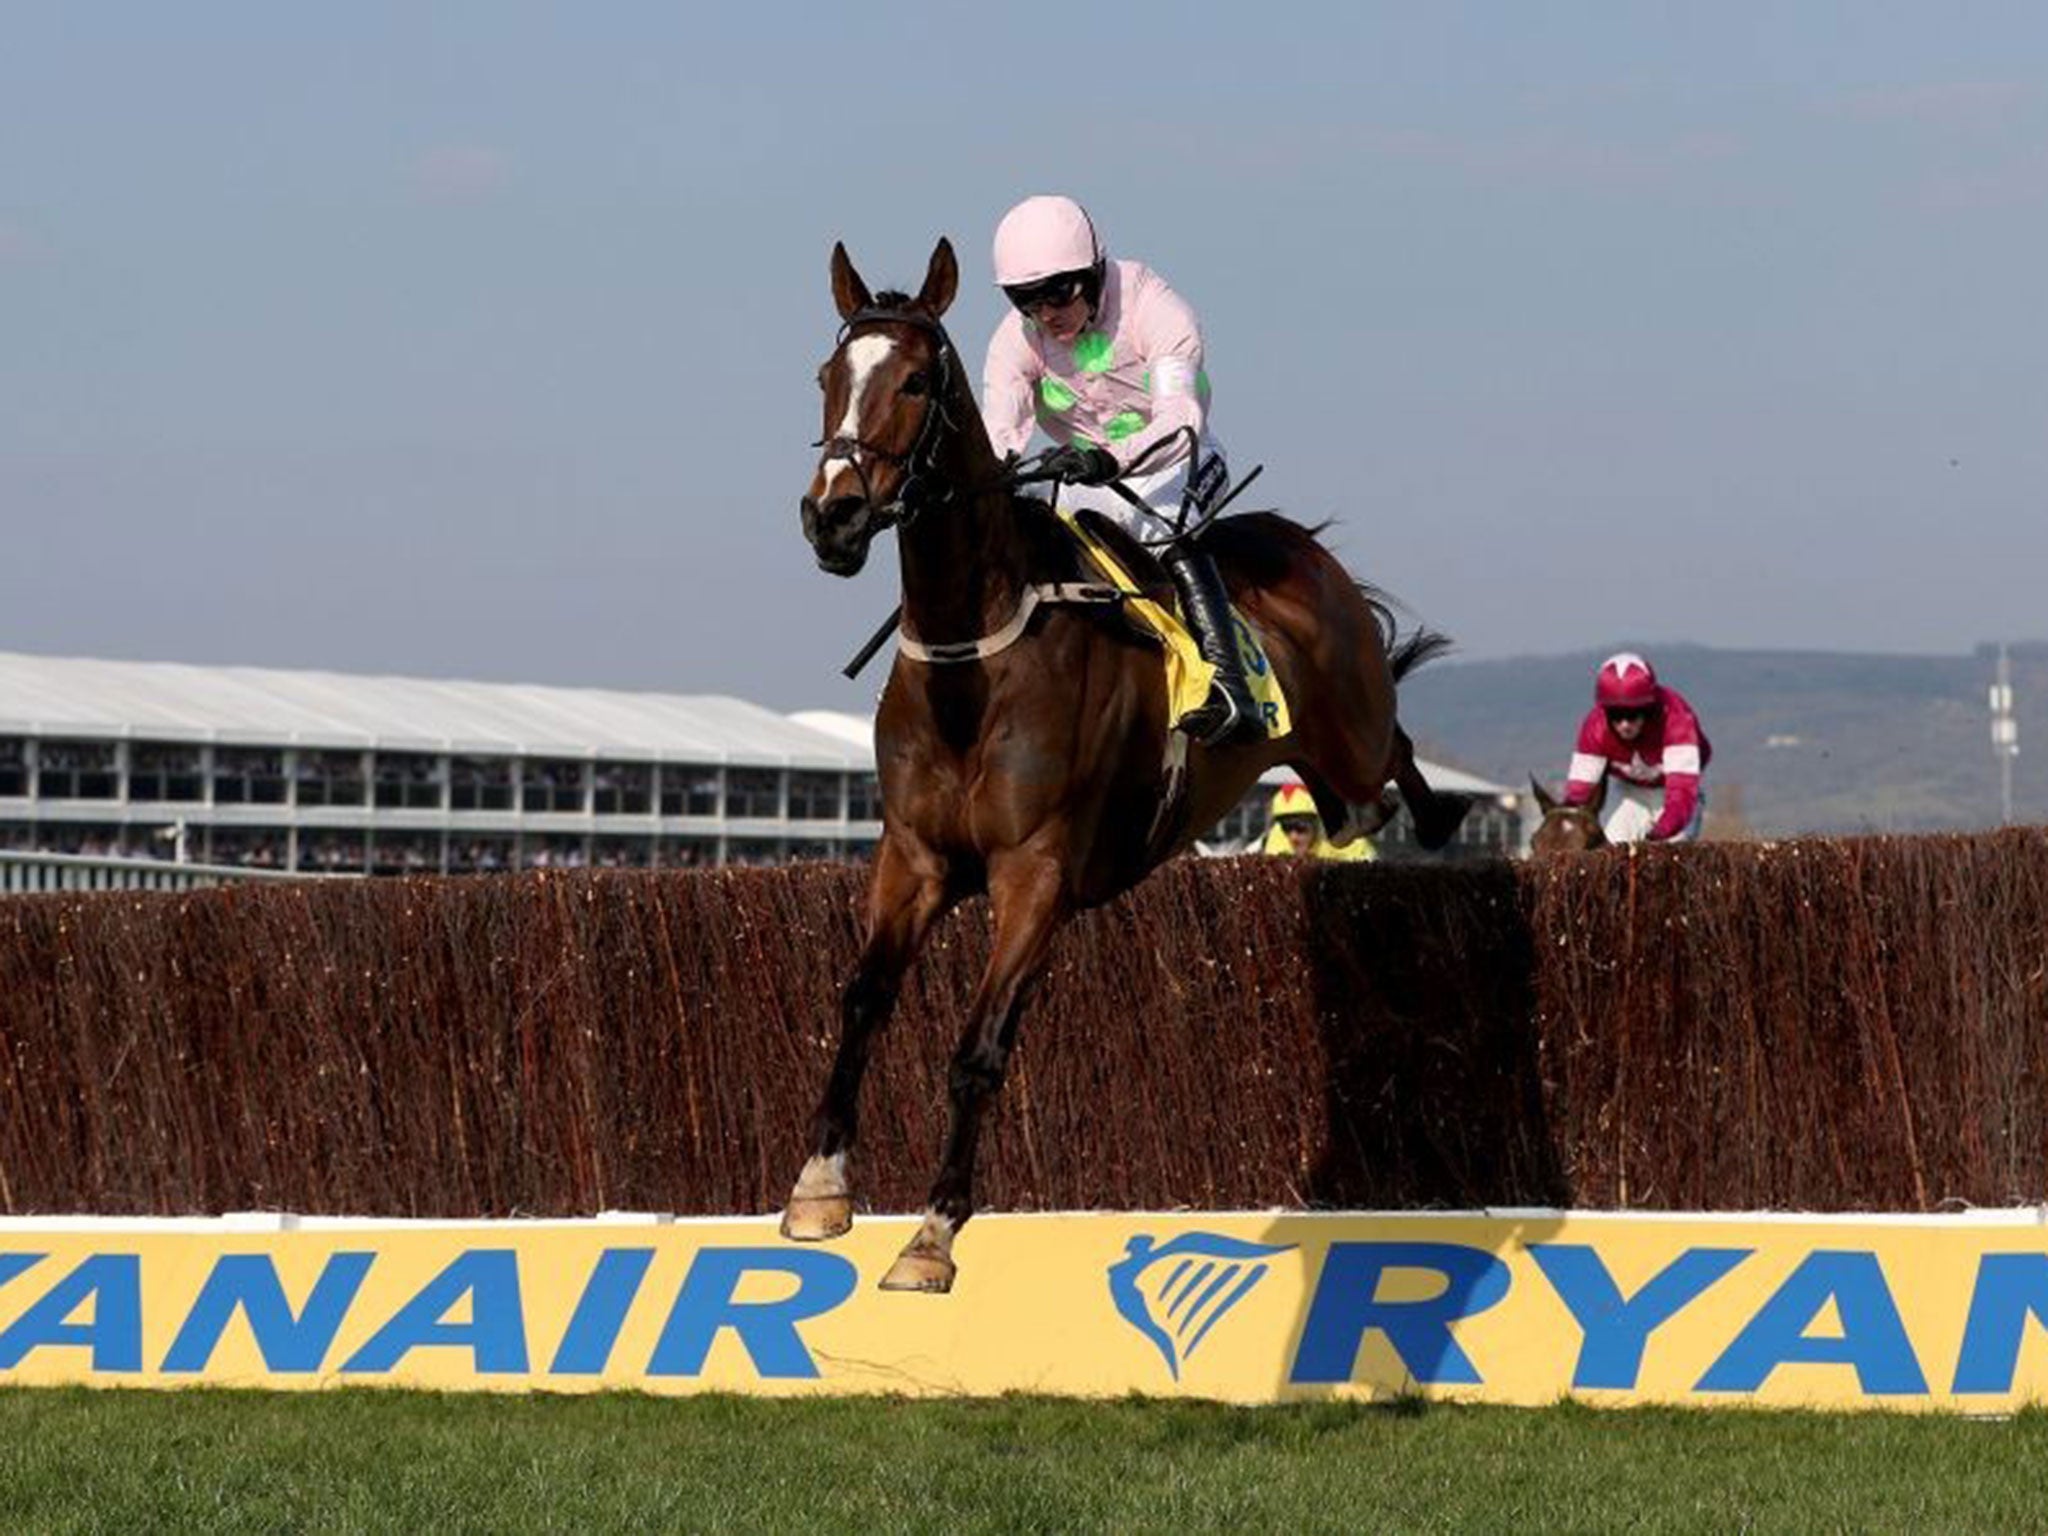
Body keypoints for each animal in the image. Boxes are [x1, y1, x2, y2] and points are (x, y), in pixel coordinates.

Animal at [782, 240, 1474, 1294]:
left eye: (914, 381)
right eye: (827, 375)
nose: (835, 516)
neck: (974, 659)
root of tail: (1304, 546)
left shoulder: (1036, 874)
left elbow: (977, 1050)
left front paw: (932, 1234)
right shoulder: (914, 858)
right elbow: (861, 1002)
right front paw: (819, 1187)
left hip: (1352, 732)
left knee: (1388, 759)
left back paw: (1440, 816)